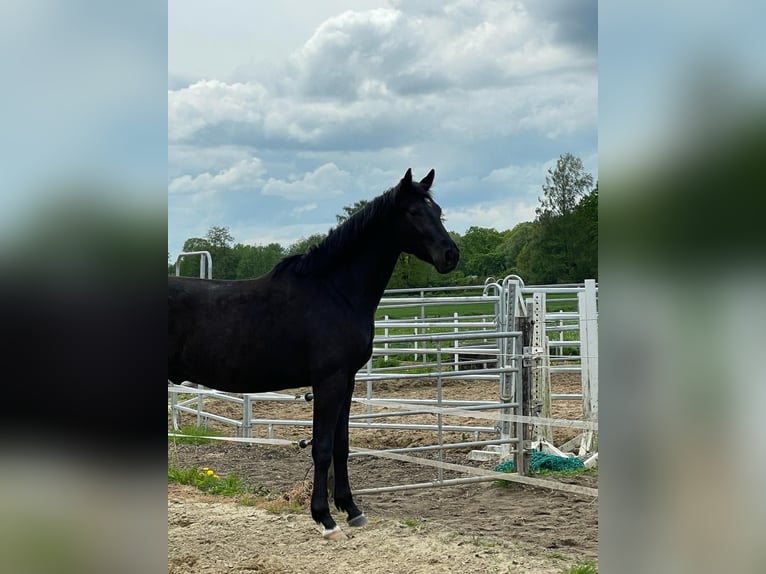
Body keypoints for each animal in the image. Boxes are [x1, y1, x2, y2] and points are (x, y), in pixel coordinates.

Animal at [170, 169, 456, 544]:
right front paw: (325, 518)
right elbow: (321, 447)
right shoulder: (328, 380)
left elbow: (341, 444)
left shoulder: (347, 380)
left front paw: (351, 509)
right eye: (413, 212)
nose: (451, 255)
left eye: (437, 210)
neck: (334, 291)